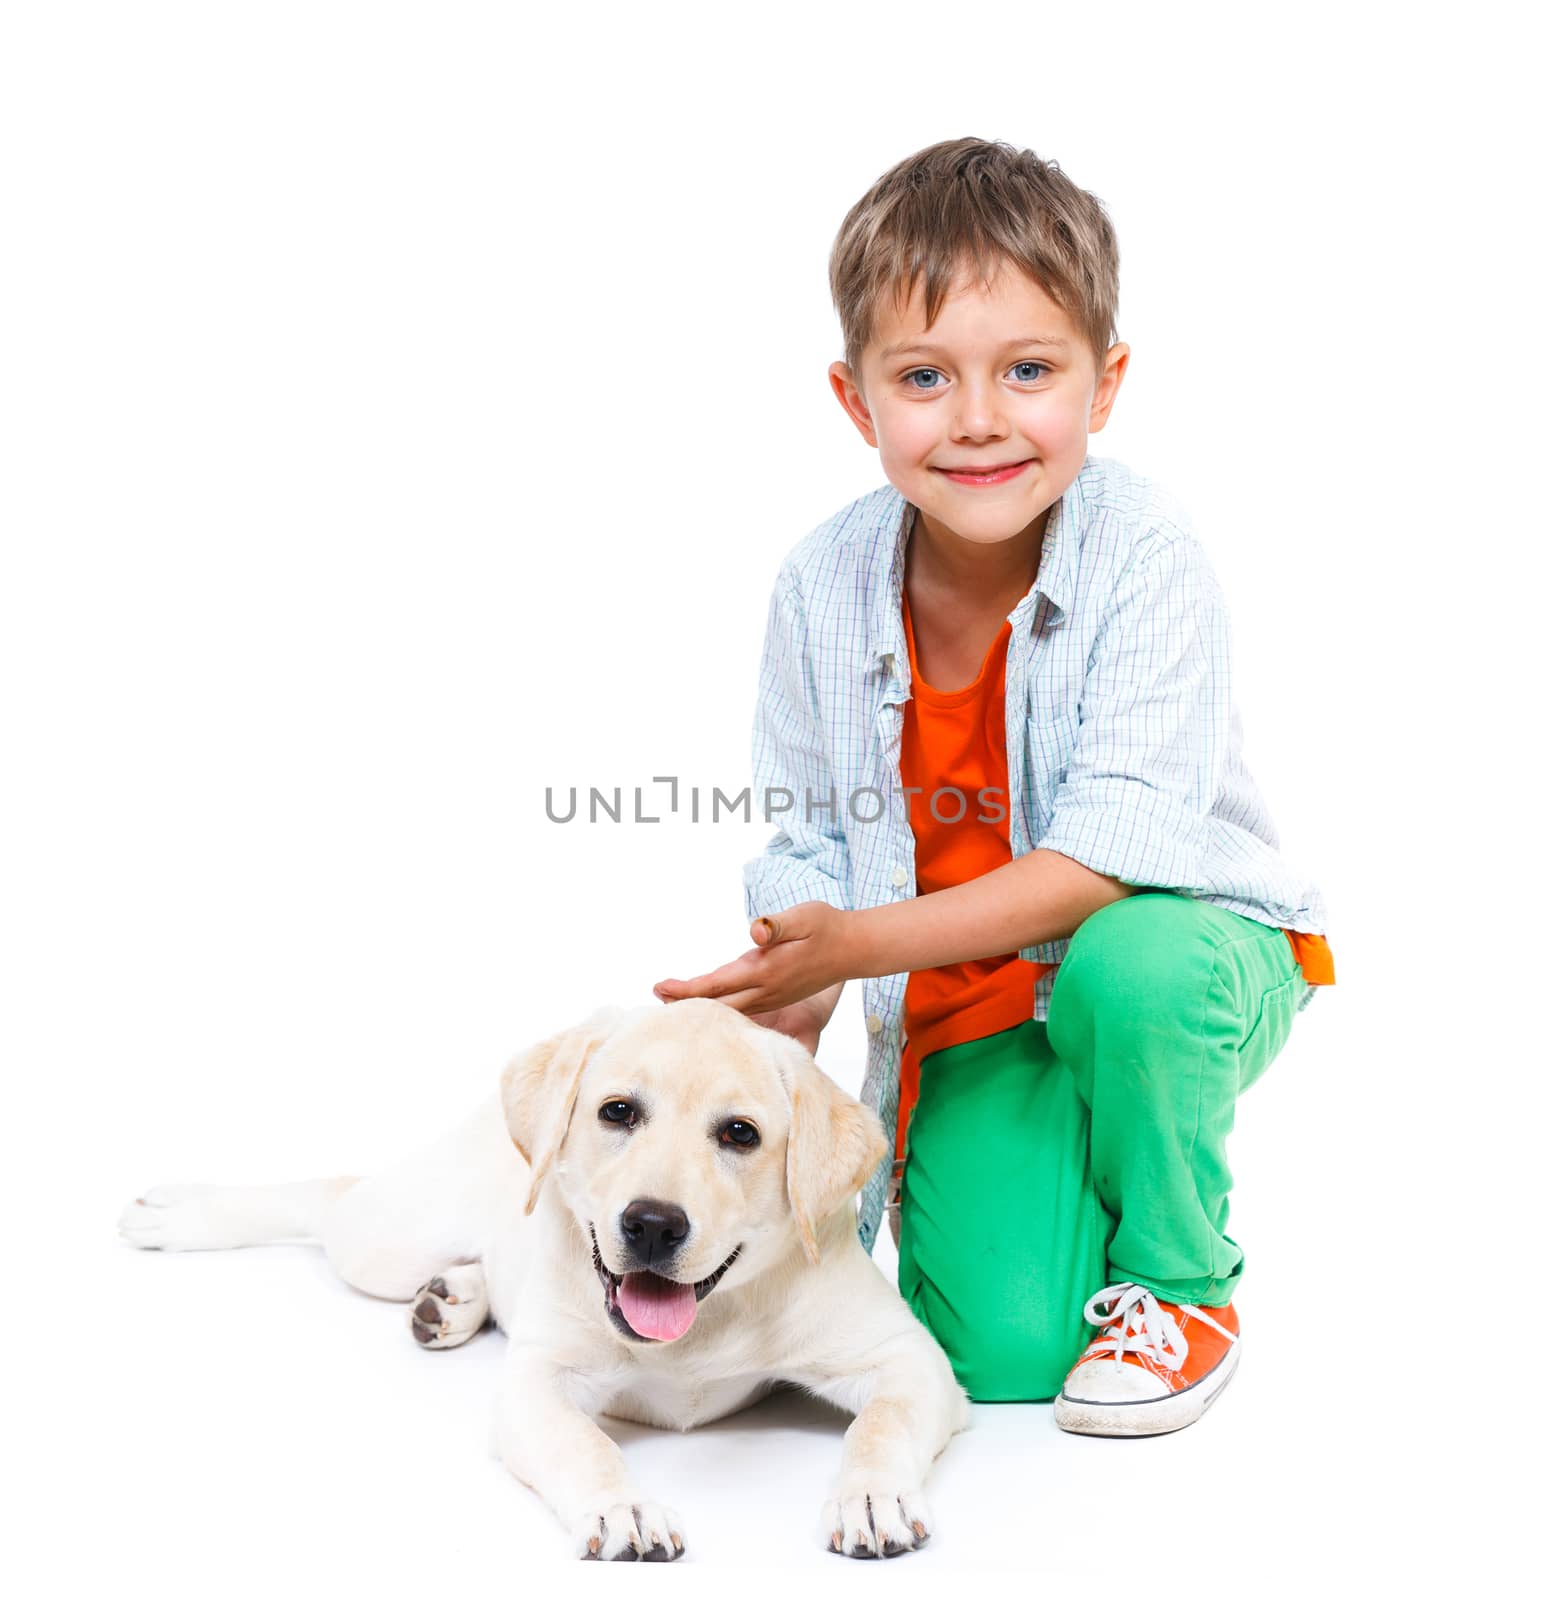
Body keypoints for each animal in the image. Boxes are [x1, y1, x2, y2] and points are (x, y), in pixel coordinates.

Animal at [120, 992, 972, 1555]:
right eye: (618, 1112)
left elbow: (879, 1424)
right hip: (386, 1239)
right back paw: (183, 1214)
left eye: (740, 1134)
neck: (702, 1327)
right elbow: (581, 1443)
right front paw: (624, 1509)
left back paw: (453, 1300)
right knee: (327, 1196)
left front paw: (870, 1496)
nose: (652, 1224)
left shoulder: (912, 1360)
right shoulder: (538, 1382)